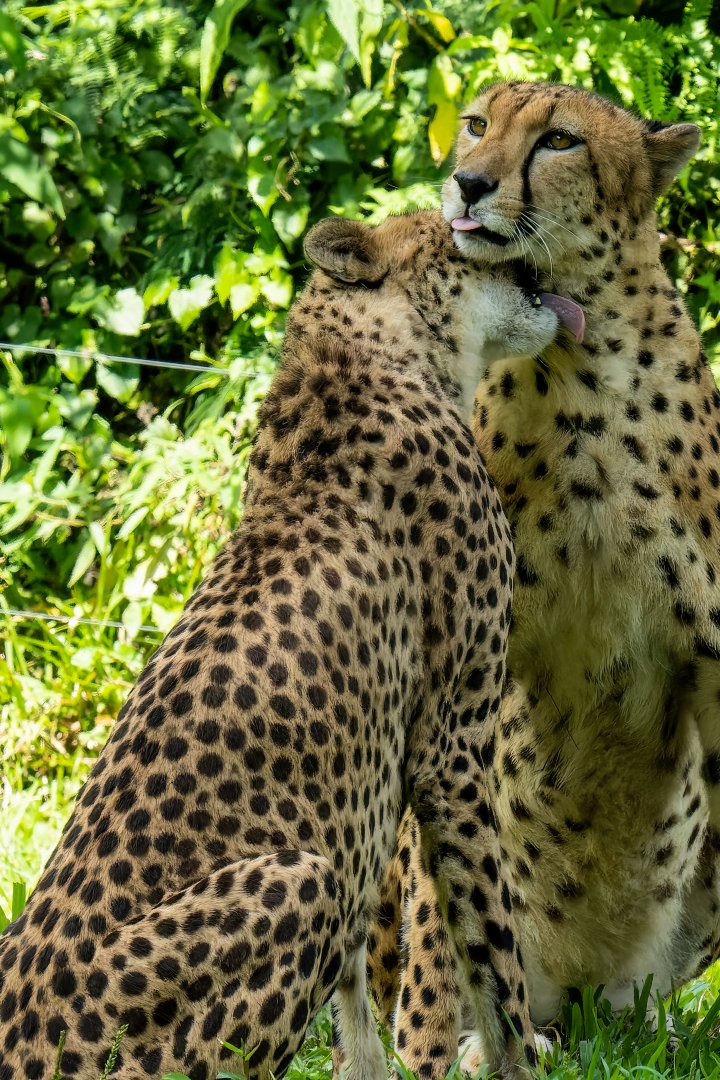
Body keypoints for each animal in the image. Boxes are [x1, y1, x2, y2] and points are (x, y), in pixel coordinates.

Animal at [0, 208, 562, 1080]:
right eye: (453, 226)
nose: (493, 214)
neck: (378, 357)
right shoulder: (452, 746)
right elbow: (492, 953)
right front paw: (517, 1059)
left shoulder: (368, 809)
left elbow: (358, 1012)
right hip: (298, 880)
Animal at [366, 80, 720, 1079]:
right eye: (479, 125)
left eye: (559, 141)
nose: (469, 184)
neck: (580, 367)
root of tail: (583, 994)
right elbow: (443, 911)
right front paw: (426, 1054)